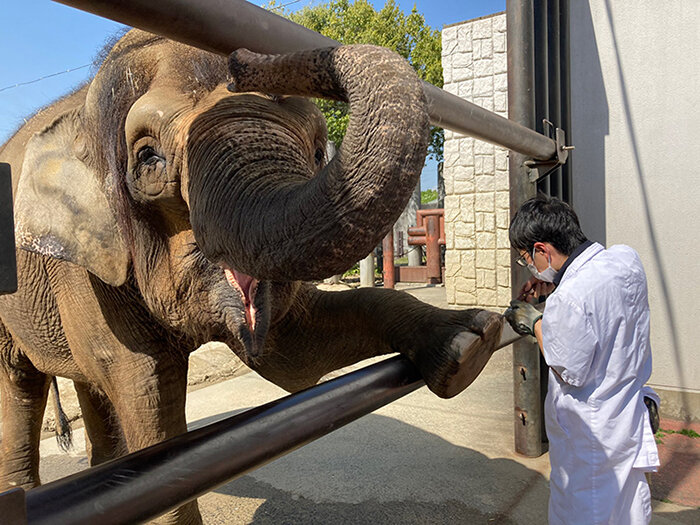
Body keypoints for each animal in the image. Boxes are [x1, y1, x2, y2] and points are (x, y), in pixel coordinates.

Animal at [0, 30, 504, 520]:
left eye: (318, 151)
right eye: (148, 159)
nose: (242, 58)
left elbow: (297, 357)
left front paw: (472, 340)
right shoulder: (88, 270)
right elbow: (149, 403)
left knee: (88, 386)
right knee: (19, 389)